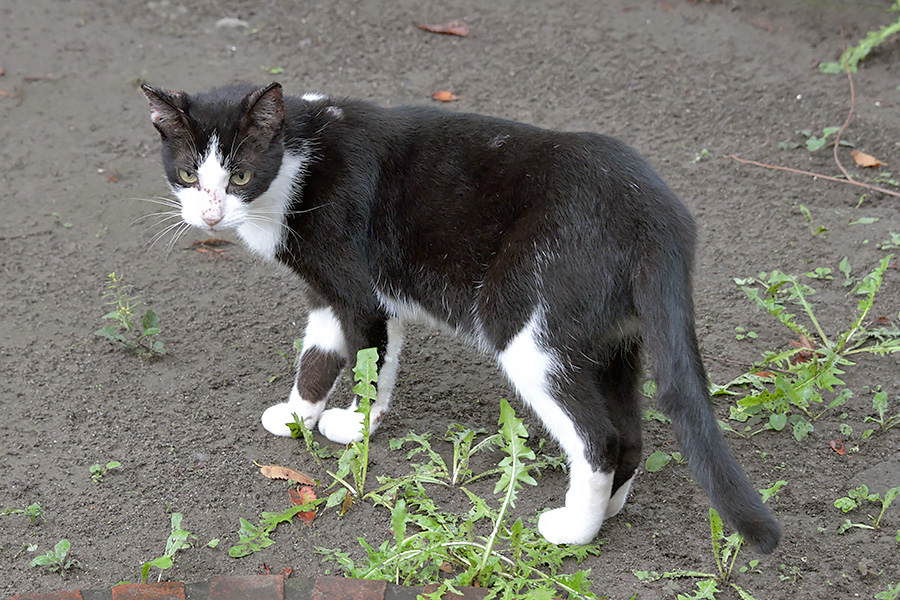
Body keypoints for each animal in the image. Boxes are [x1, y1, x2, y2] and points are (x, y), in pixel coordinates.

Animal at [141, 81, 780, 552]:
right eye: (189, 175)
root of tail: (656, 212)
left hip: (527, 327)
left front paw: (356, 428)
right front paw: (299, 415)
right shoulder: (331, 296)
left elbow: (369, 363)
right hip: (614, 342)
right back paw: (605, 513)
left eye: (241, 175)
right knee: (629, 432)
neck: (298, 160)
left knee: (597, 437)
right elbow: (320, 355)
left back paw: (571, 530)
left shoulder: (358, 290)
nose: (210, 216)